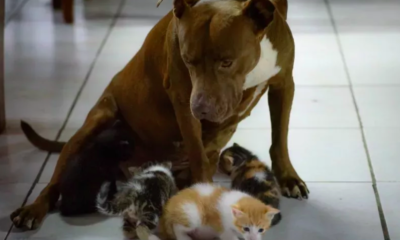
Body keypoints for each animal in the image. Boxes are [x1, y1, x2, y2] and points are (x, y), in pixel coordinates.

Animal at [10, 0, 310, 231]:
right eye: (188, 60)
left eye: (227, 62)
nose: (201, 108)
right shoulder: (183, 99)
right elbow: (198, 154)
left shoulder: (284, 83)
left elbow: (279, 137)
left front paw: (288, 178)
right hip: (95, 123)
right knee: (54, 181)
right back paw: (32, 209)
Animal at [151, 183, 282, 240]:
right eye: (246, 228)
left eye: (261, 230)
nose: (253, 238)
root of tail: (169, 205)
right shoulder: (224, 229)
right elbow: (229, 237)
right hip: (192, 215)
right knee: (177, 226)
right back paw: (184, 238)